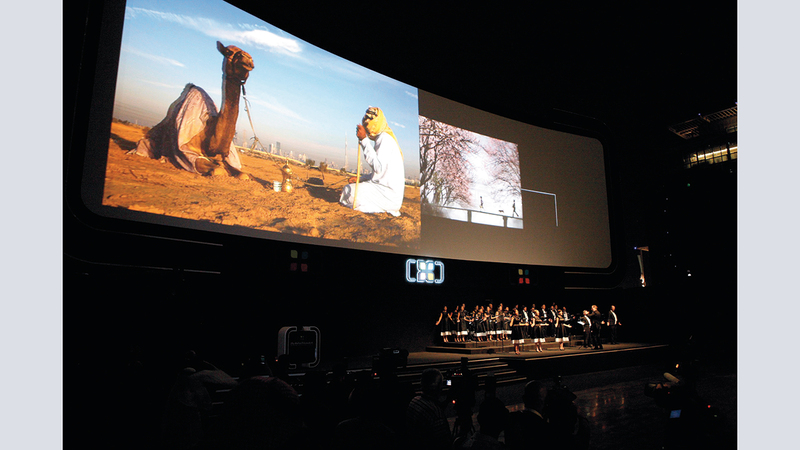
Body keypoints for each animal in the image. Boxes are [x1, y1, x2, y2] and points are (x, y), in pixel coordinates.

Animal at [133, 41, 254, 179]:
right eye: (228, 52)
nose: (248, 59)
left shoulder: (224, 158)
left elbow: (243, 174)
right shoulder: (188, 152)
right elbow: (218, 170)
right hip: (148, 141)